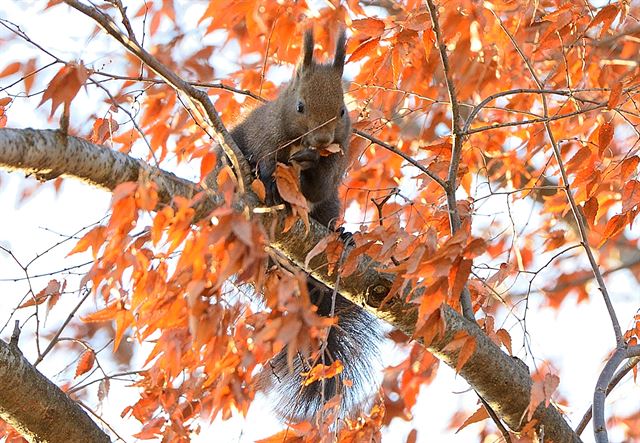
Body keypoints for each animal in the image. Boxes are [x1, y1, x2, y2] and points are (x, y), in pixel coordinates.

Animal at [229, 29, 380, 422]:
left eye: (342, 111)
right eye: (299, 107)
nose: (323, 140)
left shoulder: (338, 156)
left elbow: (319, 186)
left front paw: (312, 163)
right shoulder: (265, 136)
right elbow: (265, 163)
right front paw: (269, 184)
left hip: (331, 207)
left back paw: (343, 235)